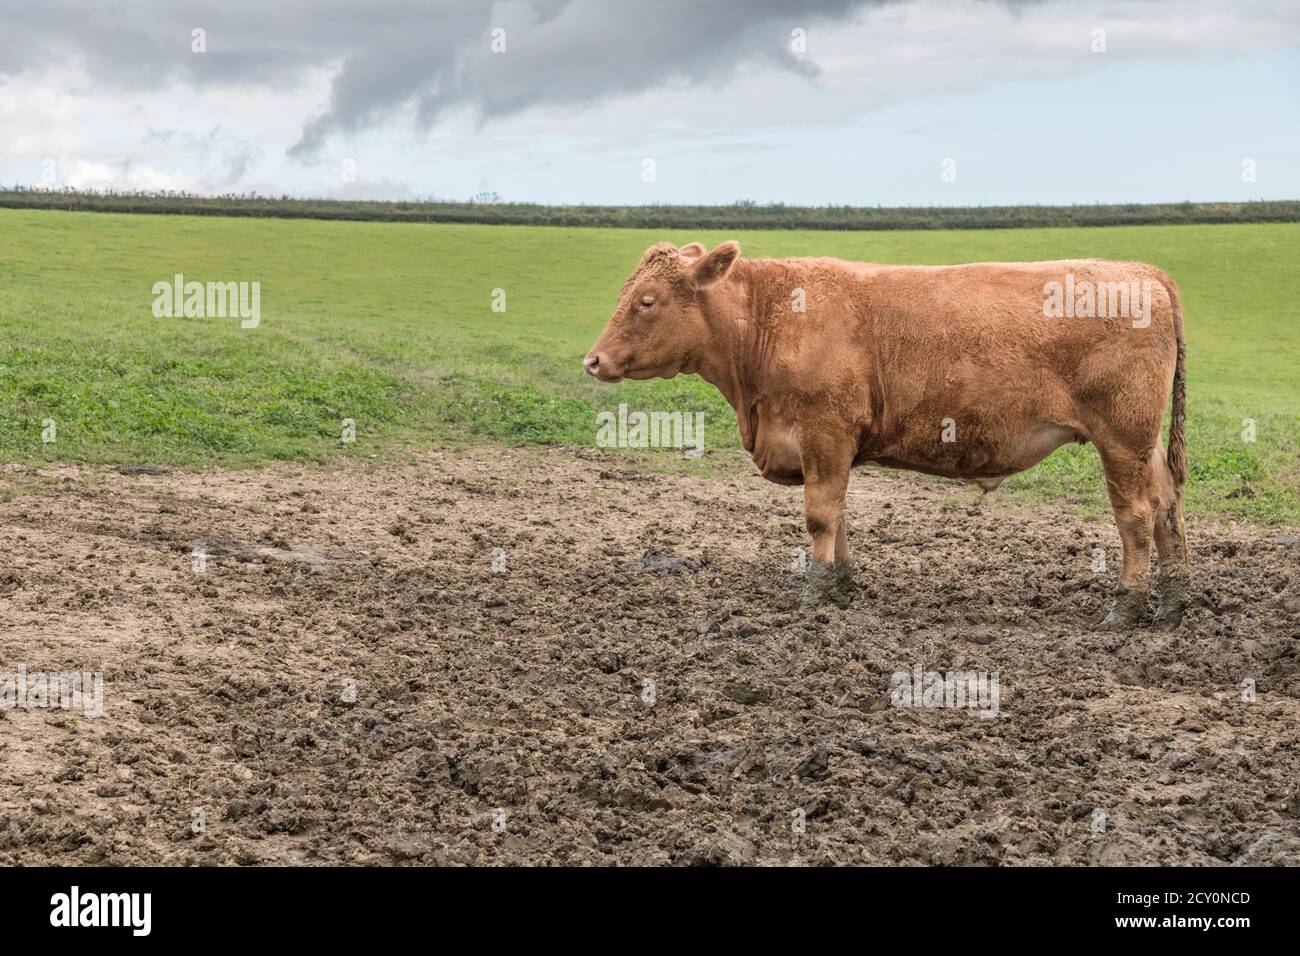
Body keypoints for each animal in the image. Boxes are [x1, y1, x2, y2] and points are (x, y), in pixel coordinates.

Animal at [585, 240, 1190, 629]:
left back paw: (1126, 609)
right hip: (1145, 447)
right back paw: (1175, 605)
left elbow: (820, 515)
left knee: (1136, 517)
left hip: (1122, 439)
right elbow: (839, 513)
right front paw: (843, 586)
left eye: (646, 301)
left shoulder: (824, 429)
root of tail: (1143, 271)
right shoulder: (831, 446)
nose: (593, 360)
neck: (770, 319)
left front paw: (814, 594)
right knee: (1167, 507)